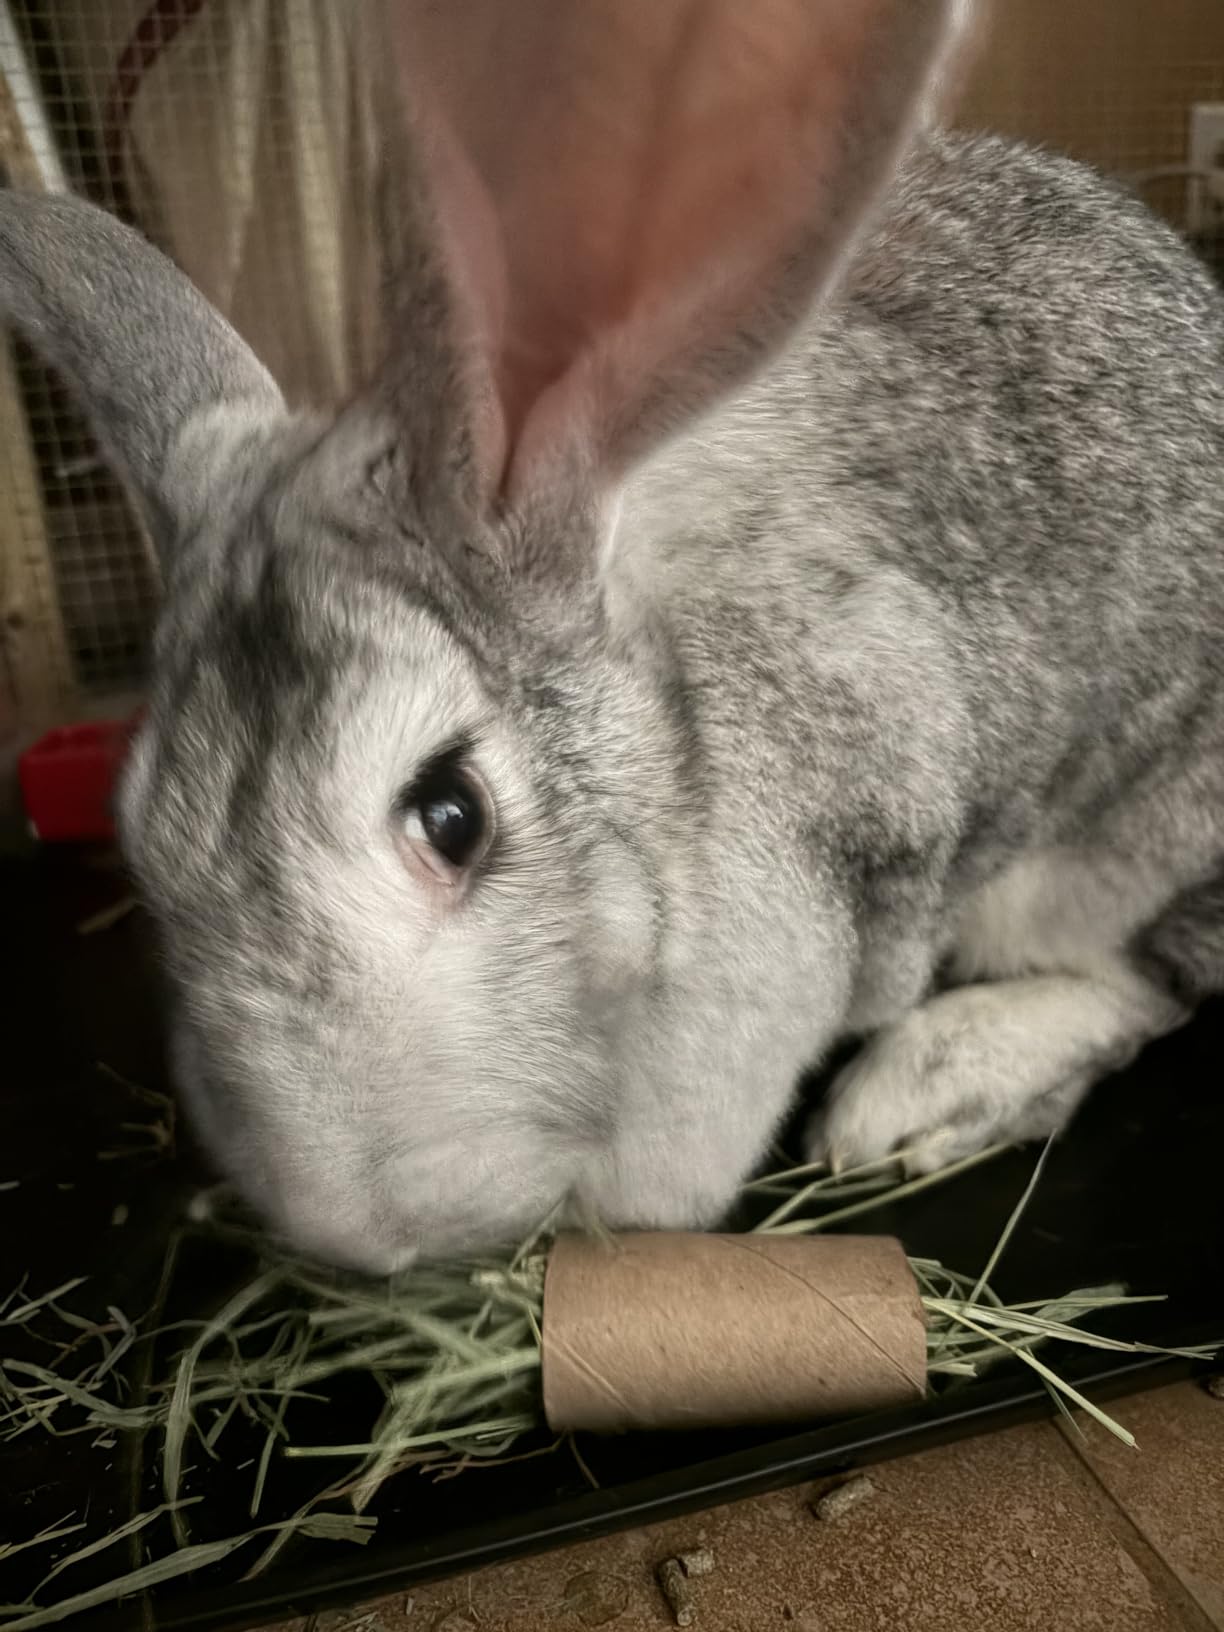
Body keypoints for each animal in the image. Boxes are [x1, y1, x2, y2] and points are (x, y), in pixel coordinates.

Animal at [2, 0, 1222, 1273]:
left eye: (452, 816)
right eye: (140, 836)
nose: (358, 1234)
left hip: (1120, 843)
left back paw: (923, 1092)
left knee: (1153, 977)